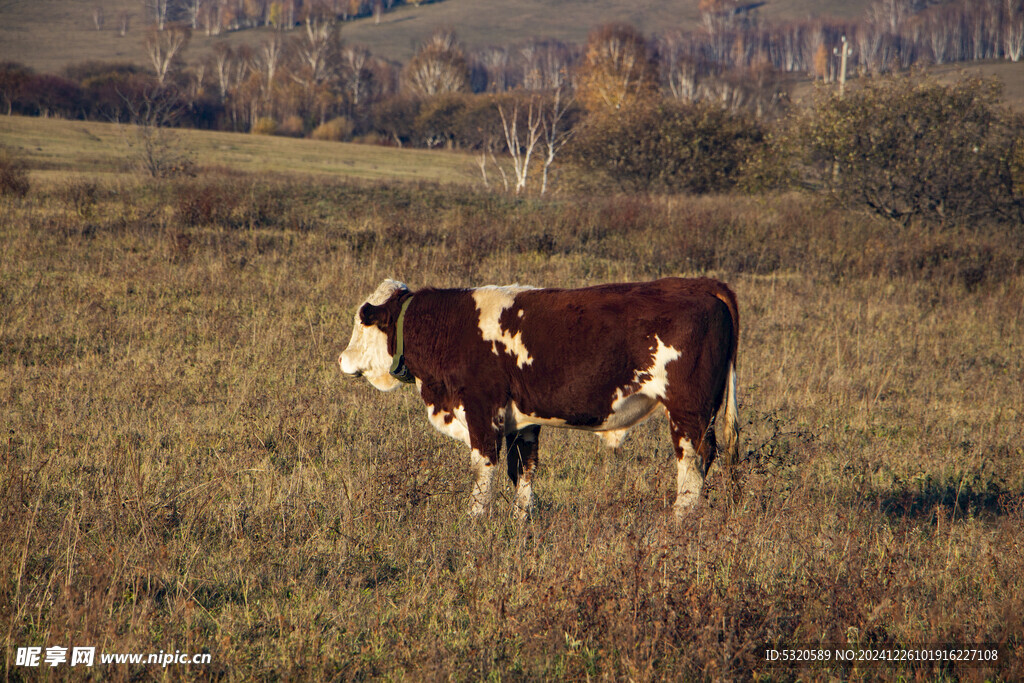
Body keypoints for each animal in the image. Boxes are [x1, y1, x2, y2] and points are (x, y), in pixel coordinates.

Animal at [339, 276, 741, 518]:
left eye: (362, 320)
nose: (341, 359)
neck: (451, 326)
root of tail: (701, 283)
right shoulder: (522, 421)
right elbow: (523, 469)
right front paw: (523, 518)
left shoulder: (482, 410)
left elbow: (484, 468)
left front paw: (475, 519)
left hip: (687, 410)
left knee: (692, 464)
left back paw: (677, 521)